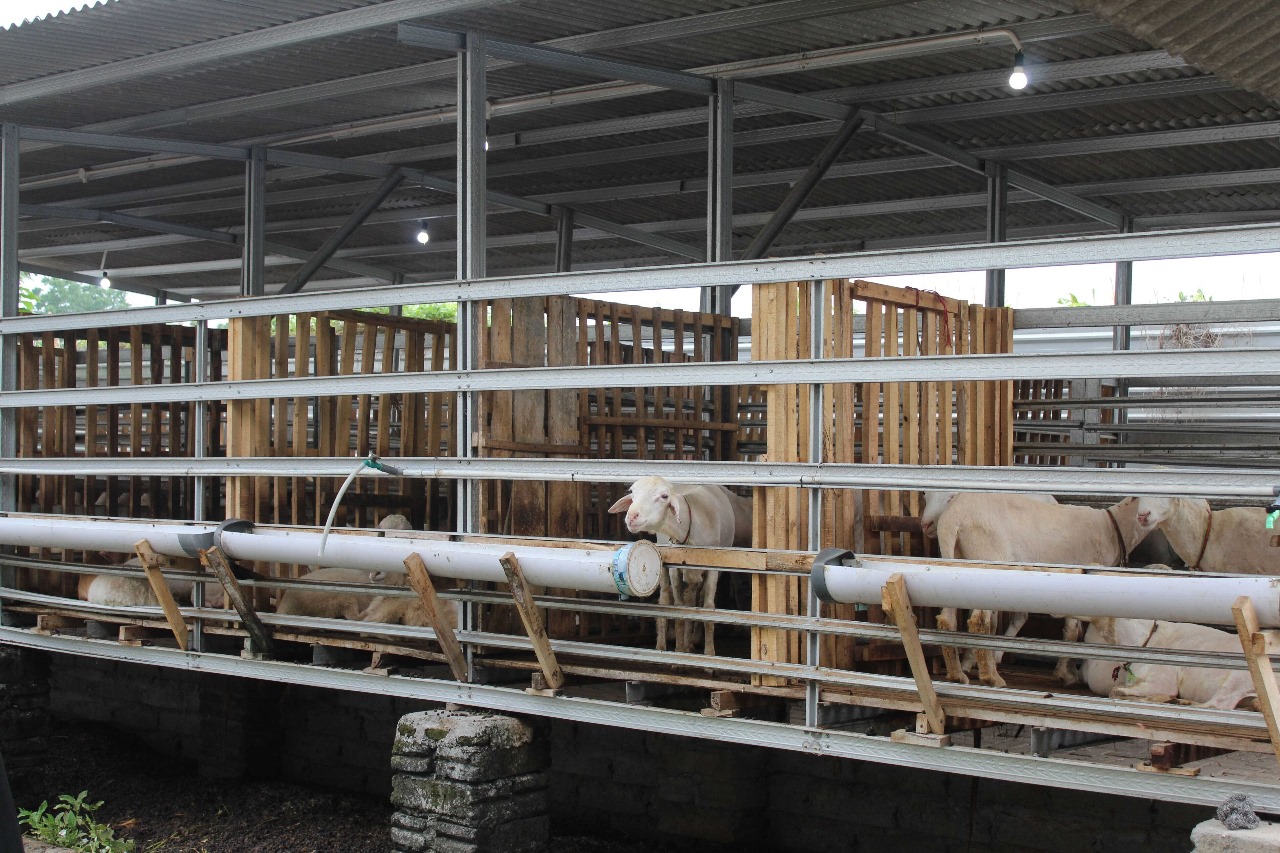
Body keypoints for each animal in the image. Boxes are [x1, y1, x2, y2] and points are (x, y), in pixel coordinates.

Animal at [604, 473, 747, 653]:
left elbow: (707, 607)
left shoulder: (713, 568)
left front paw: (709, 652)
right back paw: (664, 644)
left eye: (664, 496)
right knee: (666, 598)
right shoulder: (674, 569)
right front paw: (679, 649)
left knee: (694, 598)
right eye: (632, 492)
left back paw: (691, 640)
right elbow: (678, 608)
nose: (632, 517)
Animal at [936, 491, 1146, 686]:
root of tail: (953, 518)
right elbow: (1072, 631)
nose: (1144, 516)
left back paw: (957, 674)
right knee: (979, 620)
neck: (1111, 527)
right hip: (987, 555)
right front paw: (1065, 674)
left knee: (948, 618)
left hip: (956, 560)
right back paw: (991, 677)